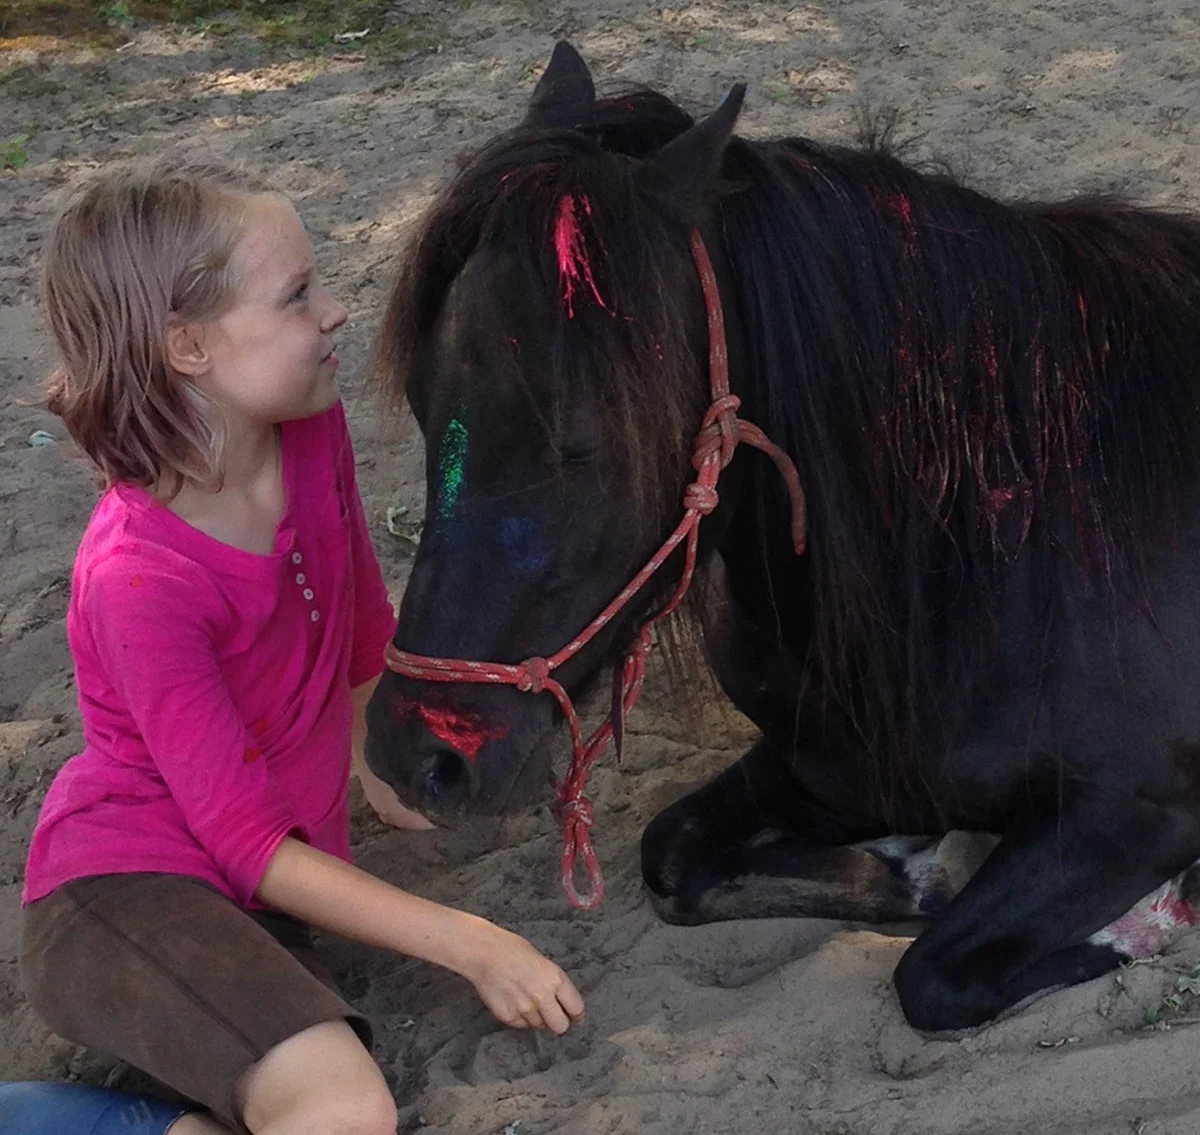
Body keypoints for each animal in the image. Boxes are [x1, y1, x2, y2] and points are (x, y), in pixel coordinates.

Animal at [364, 41, 1200, 1032]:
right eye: (420, 400)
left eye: (583, 437)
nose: (416, 757)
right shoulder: (823, 766)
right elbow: (673, 857)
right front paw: (911, 869)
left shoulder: (1137, 811)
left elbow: (935, 973)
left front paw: (1140, 928)